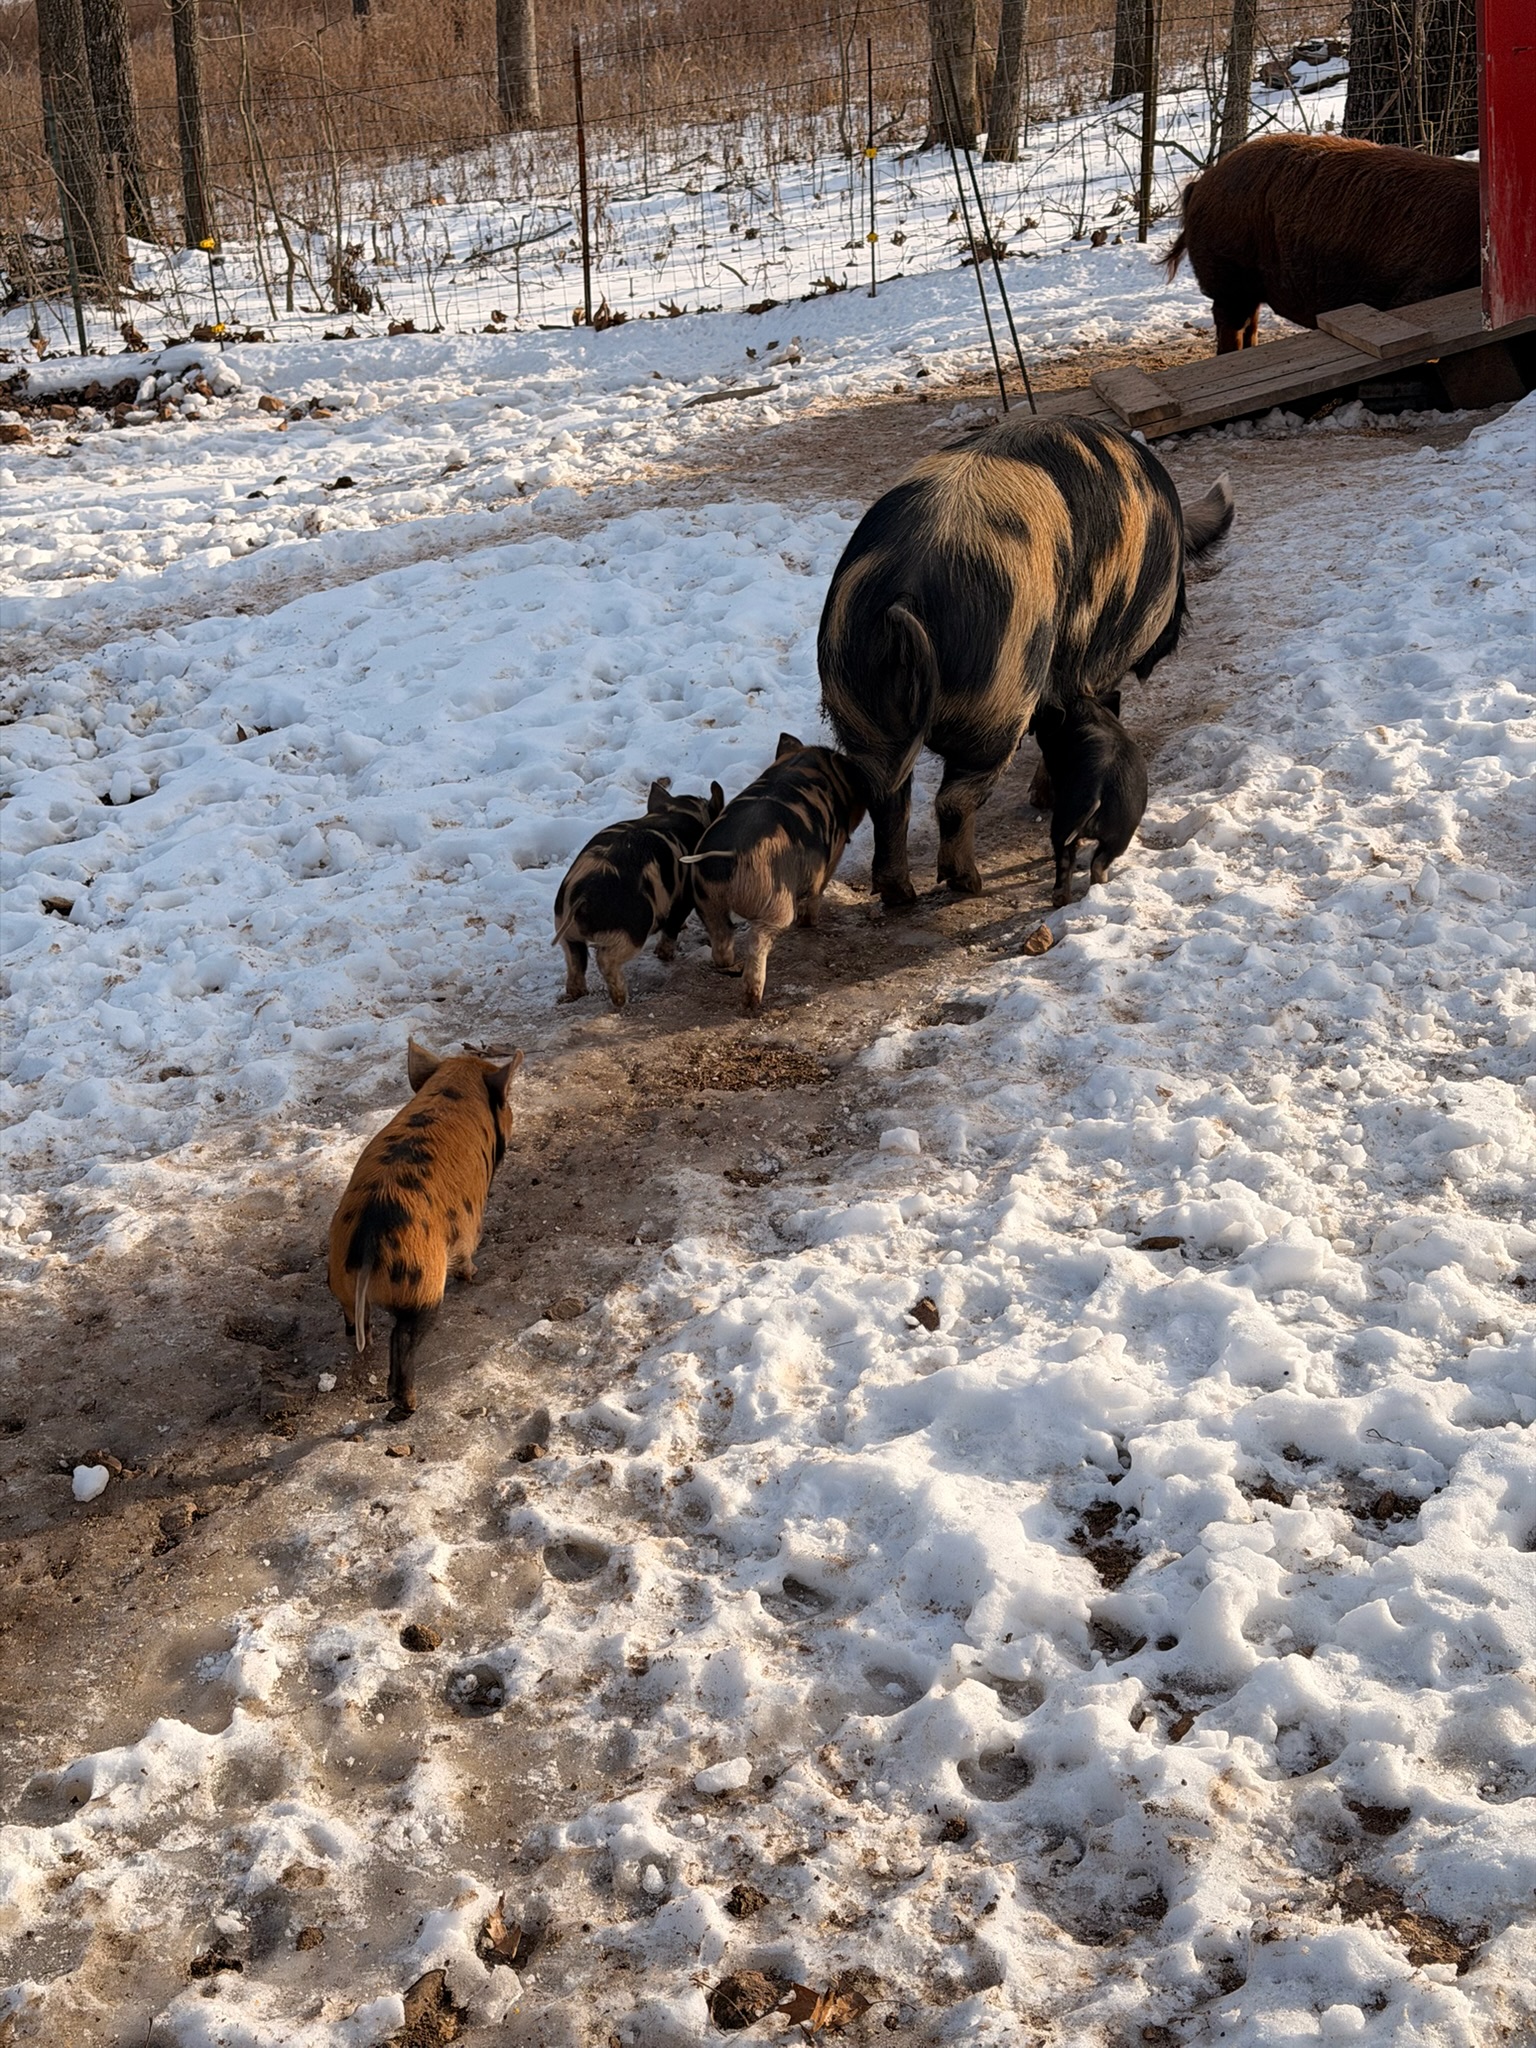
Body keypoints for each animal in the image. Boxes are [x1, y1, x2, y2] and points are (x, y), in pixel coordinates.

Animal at [327, 1040, 523, 1413]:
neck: (453, 1090)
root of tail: (369, 1240)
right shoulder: (470, 1222)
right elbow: (467, 1255)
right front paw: (476, 1274)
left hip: (340, 1280)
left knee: (357, 1322)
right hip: (423, 1283)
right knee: (403, 1338)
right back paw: (408, 1406)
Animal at [553, 779, 725, 1008]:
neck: (679, 810)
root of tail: (582, 895)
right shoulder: (685, 896)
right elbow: (673, 924)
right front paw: (664, 955)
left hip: (565, 927)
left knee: (575, 960)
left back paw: (575, 994)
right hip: (632, 927)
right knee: (605, 959)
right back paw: (620, 1000)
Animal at [686, 734, 866, 1011]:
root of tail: (732, 854)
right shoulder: (831, 856)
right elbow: (817, 893)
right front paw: (809, 923)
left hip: (706, 899)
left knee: (721, 939)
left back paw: (729, 965)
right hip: (775, 902)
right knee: (758, 941)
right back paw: (753, 1000)